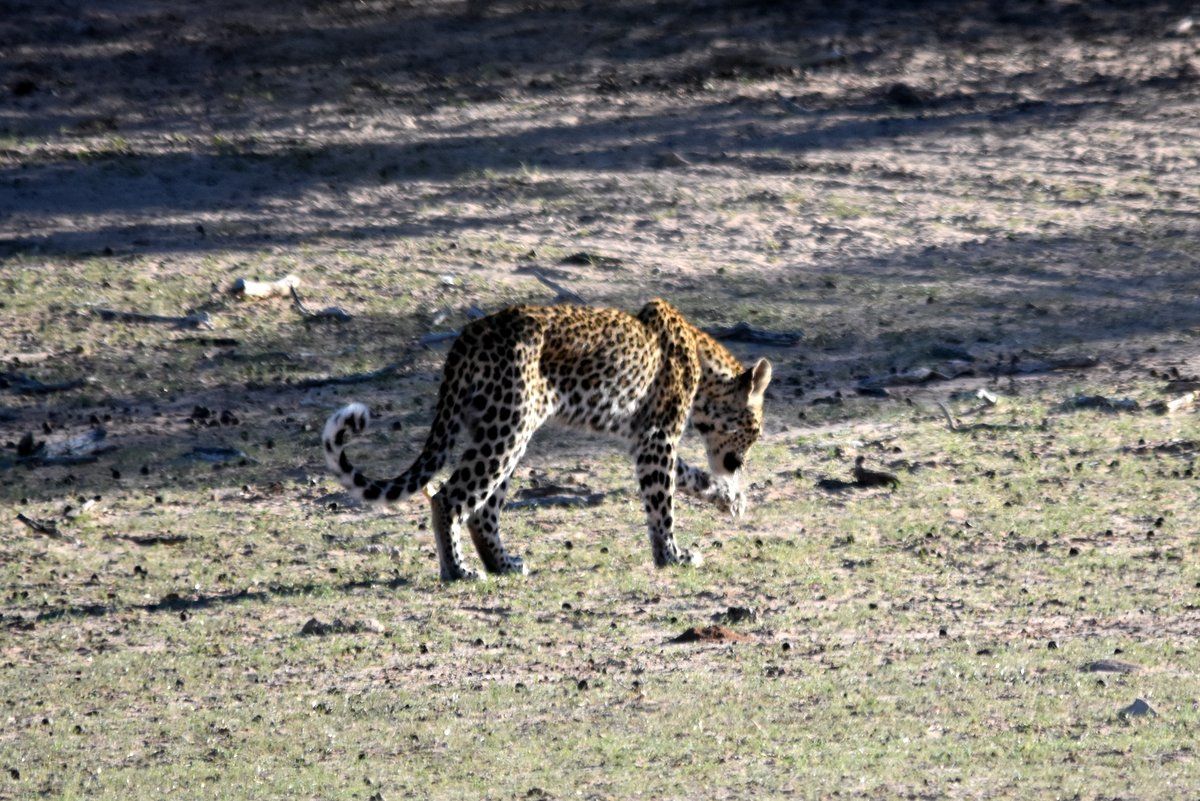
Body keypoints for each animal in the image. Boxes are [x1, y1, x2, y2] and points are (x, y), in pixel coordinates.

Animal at [322, 298, 771, 581]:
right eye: (755, 429)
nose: (738, 464)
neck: (704, 364)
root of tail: (468, 335)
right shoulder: (657, 437)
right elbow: (663, 505)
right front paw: (672, 556)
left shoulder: (644, 441)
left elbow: (688, 476)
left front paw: (728, 498)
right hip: (508, 428)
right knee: (448, 497)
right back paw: (459, 572)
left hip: (501, 430)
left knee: (482, 510)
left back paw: (503, 565)